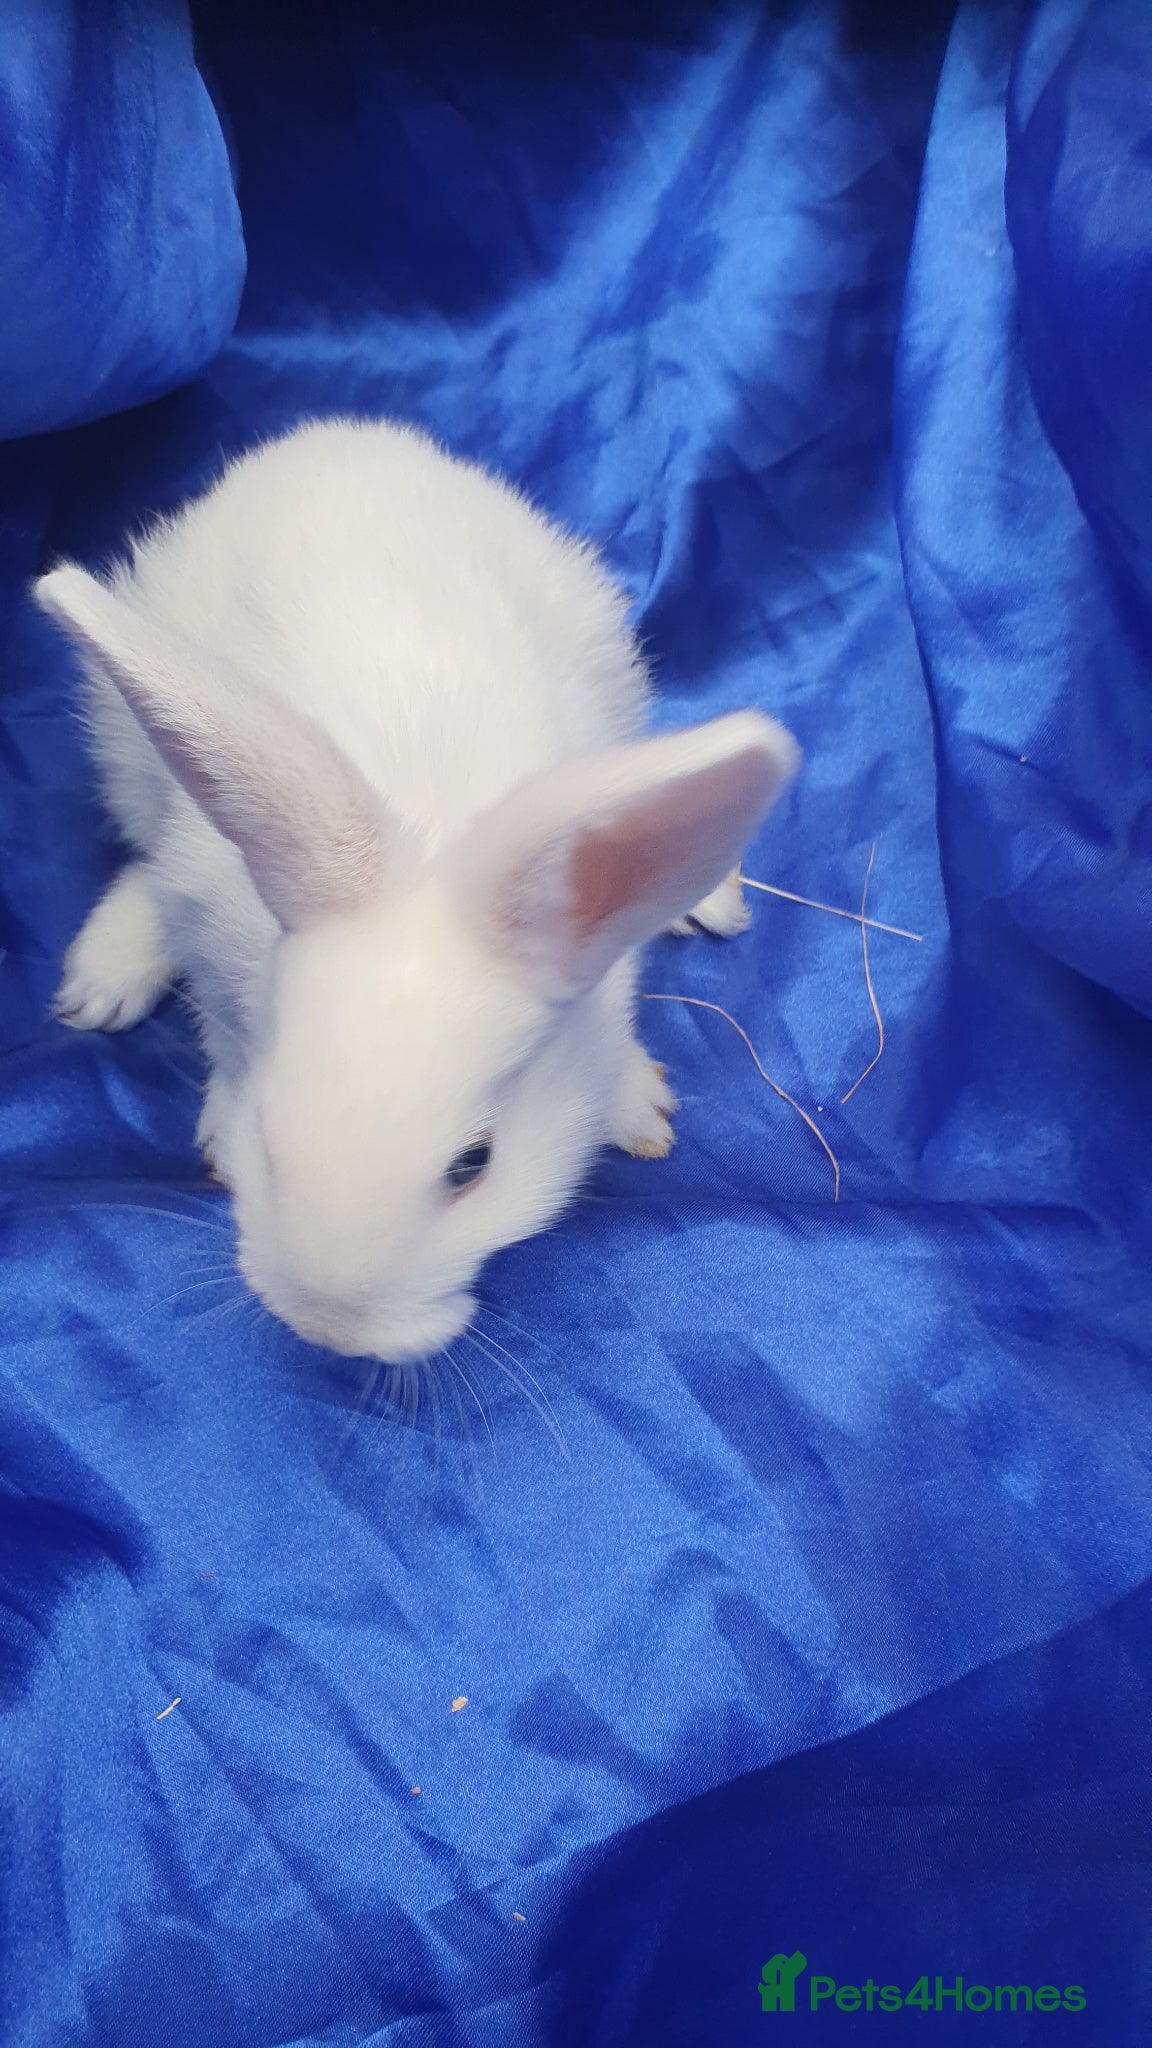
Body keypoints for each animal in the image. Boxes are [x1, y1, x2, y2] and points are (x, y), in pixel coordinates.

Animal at [34, 417, 799, 1365]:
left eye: (474, 1167)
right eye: (270, 1134)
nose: (329, 1328)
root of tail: (335, 435)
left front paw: (634, 1102)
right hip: (135, 746)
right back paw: (104, 981)